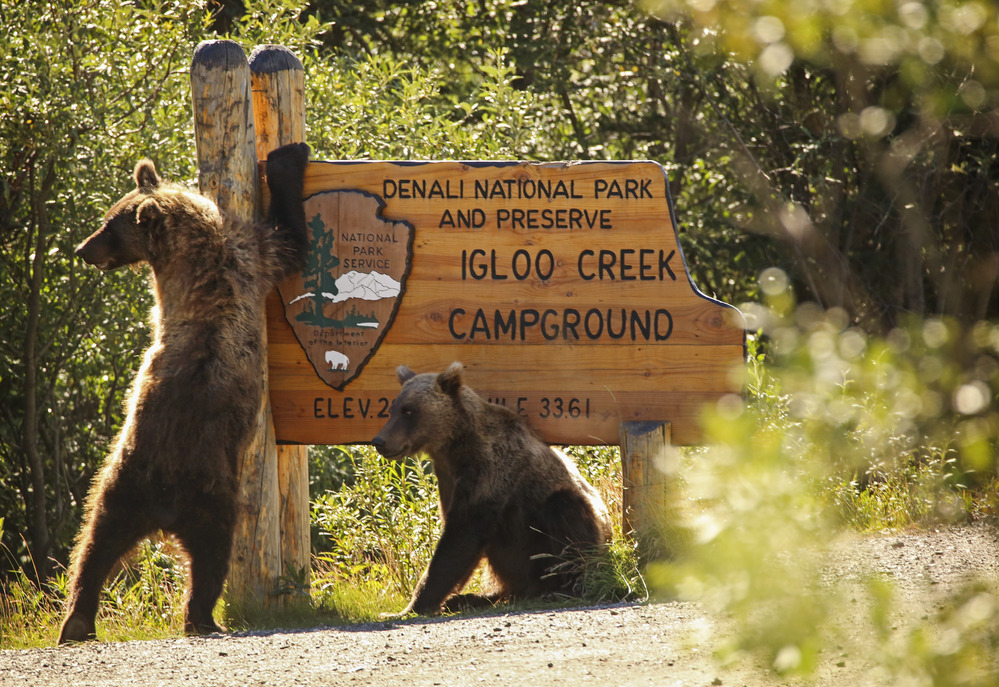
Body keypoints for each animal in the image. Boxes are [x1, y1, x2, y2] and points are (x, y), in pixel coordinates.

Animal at [58, 142, 311, 644]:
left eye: (108, 223)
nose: (82, 249)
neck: (192, 247)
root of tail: (162, 506)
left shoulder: (240, 260)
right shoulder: (252, 259)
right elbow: (289, 237)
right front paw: (289, 157)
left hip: (120, 483)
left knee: (93, 542)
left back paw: (76, 622)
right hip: (210, 491)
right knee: (211, 558)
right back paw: (204, 618)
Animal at [371, 362, 612, 615]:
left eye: (408, 411)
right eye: (392, 409)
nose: (379, 441)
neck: (454, 445)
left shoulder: (489, 473)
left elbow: (460, 538)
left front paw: (412, 606)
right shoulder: (448, 480)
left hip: (564, 531)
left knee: (567, 514)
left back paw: (563, 589)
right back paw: (472, 598)